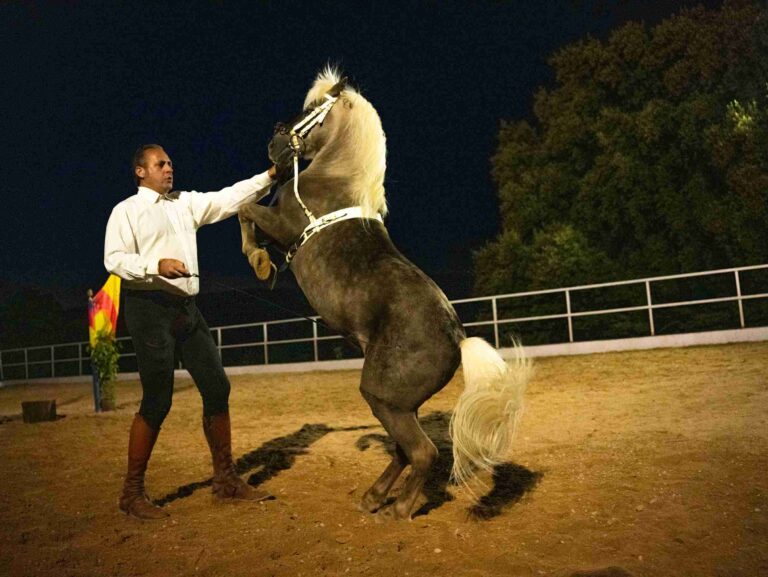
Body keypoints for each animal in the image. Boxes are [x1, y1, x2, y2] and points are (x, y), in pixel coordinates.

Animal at [237, 68, 531, 521]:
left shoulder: (282, 226)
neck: (332, 180)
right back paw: (374, 497)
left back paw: (400, 508)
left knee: (422, 452)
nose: (274, 142)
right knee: (404, 451)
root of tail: (458, 338)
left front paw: (259, 262)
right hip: (401, 405)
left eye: (311, 109)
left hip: (382, 398)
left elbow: (246, 212)